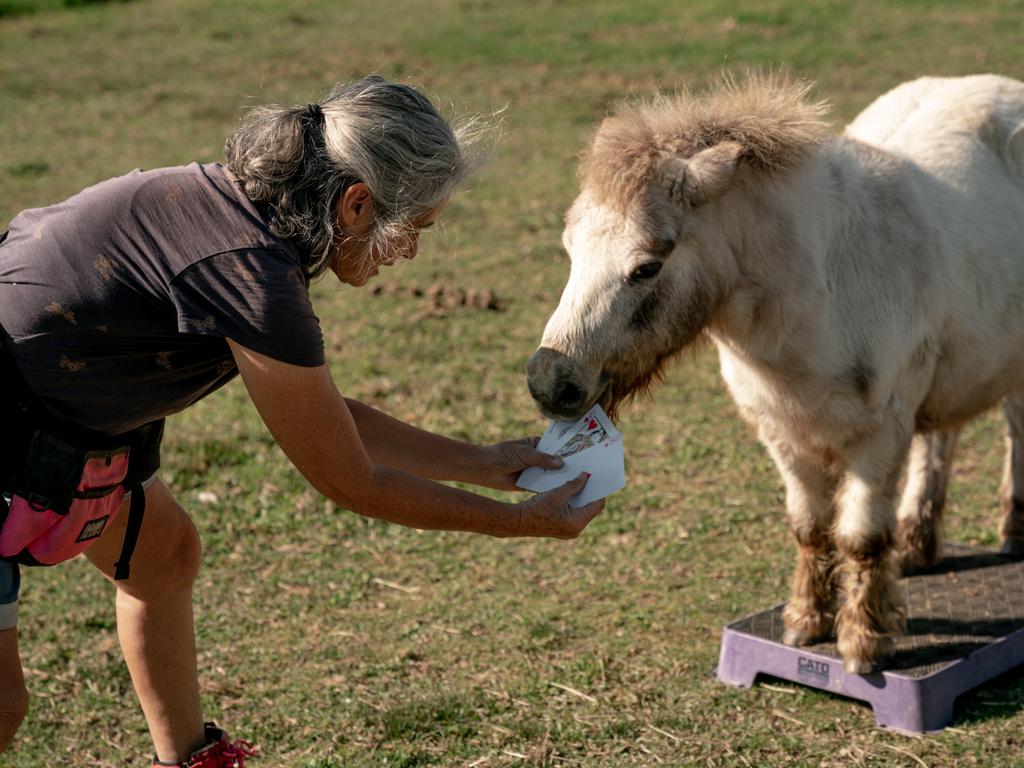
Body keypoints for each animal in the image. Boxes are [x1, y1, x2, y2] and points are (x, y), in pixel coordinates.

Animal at [524, 73, 1024, 671]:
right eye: (570, 249)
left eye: (646, 267)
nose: (550, 383)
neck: (820, 295)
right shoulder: (781, 432)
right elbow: (809, 527)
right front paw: (806, 621)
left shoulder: (881, 435)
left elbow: (859, 537)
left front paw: (863, 640)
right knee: (941, 438)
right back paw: (918, 544)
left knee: (1015, 430)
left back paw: (1013, 532)